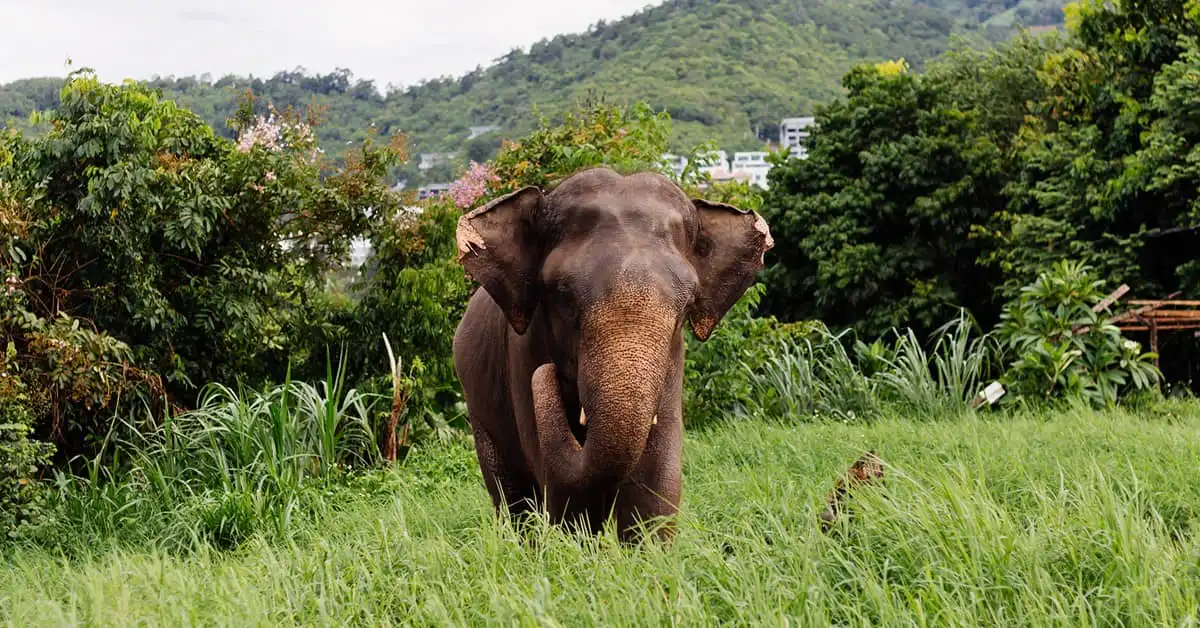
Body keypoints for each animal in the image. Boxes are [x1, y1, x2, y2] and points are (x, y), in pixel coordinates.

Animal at [451, 166, 773, 543]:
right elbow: (560, 487)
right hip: (478, 410)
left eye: (687, 304)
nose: (545, 373)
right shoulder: (522, 352)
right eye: (563, 294)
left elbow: (655, 478)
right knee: (513, 497)